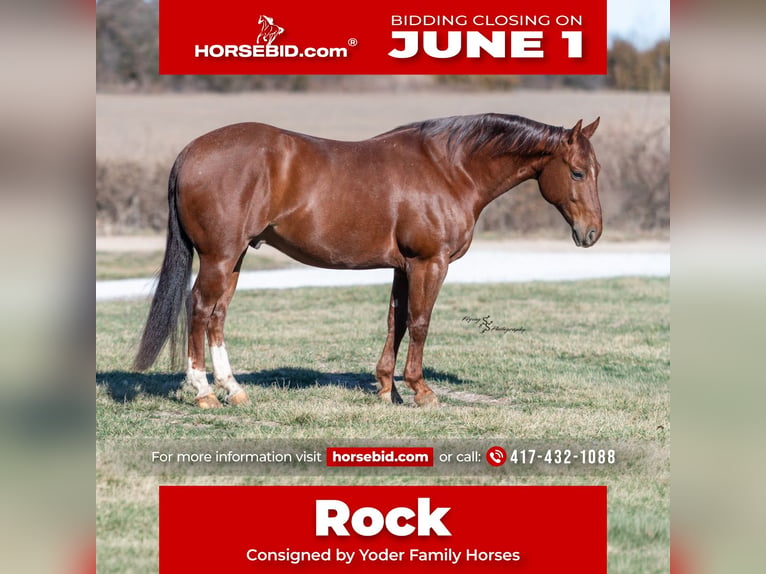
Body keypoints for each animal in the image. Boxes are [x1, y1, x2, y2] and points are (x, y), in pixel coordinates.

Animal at [133, 113, 602, 408]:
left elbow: (396, 322)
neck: (449, 169)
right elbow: (419, 322)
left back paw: (234, 390)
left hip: (234, 259)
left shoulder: (403, 266)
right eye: (577, 172)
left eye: (595, 171)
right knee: (199, 309)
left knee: (217, 315)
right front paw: (421, 391)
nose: (592, 233)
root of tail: (190, 152)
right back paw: (203, 392)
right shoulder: (429, 263)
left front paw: (386, 390)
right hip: (219, 257)